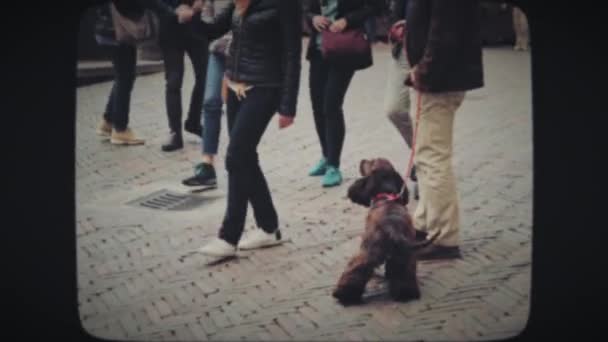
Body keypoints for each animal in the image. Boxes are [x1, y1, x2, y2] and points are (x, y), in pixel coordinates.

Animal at [332, 158, 436, 304]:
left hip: (368, 251)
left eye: (370, 162)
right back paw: (406, 294)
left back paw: (343, 295)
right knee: (404, 272)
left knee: (356, 268)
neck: (386, 196)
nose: (362, 160)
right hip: (403, 254)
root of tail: (392, 228)